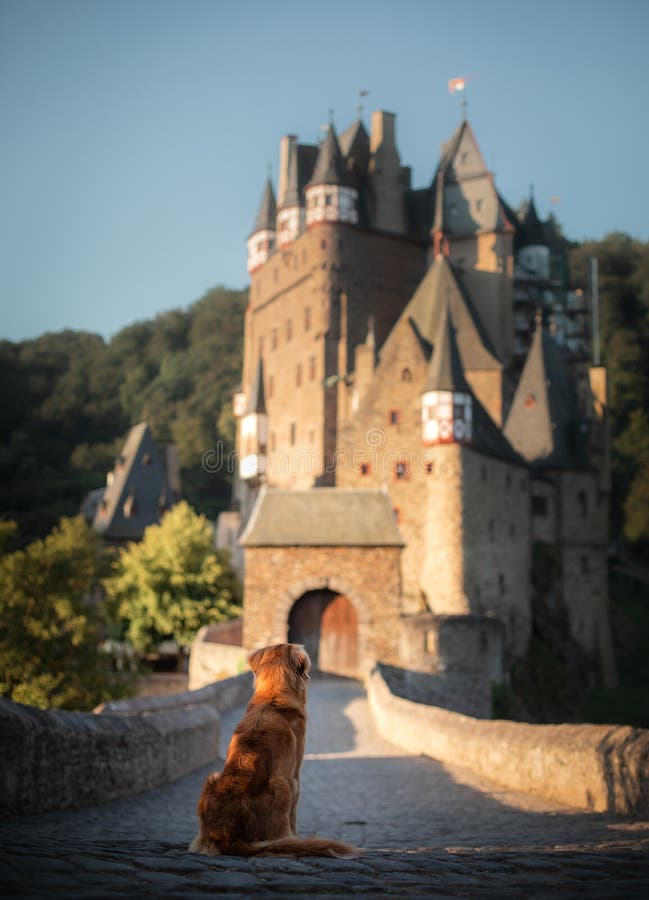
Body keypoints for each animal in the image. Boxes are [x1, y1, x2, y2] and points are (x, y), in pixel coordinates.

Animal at [187, 640, 360, 856]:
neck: (273, 697)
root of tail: (227, 834)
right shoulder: (295, 777)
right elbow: (294, 816)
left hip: (212, 777)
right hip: (282, 785)